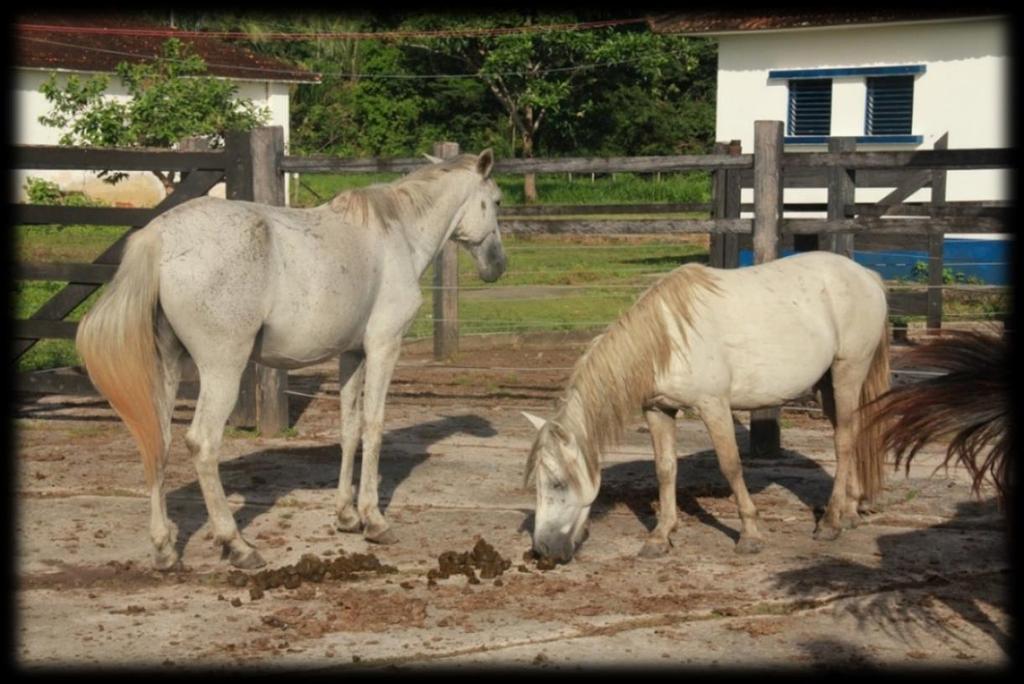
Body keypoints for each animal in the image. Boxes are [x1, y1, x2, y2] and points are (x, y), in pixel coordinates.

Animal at [75, 150, 503, 573]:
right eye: (497, 201)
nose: (497, 265)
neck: (396, 234)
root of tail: (160, 237)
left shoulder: (352, 354)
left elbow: (349, 428)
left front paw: (346, 516)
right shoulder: (384, 346)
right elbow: (373, 426)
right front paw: (374, 520)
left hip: (167, 368)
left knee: (157, 440)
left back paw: (165, 549)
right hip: (222, 370)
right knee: (202, 443)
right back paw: (237, 545)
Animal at [524, 250, 892, 561]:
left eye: (557, 483)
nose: (543, 551)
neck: (667, 341)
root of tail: (866, 275)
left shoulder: (713, 406)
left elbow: (730, 465)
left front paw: (750, 534)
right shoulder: (657, 410)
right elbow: (665, 469)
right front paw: (661, 536)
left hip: (848, 371)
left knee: (843, 440)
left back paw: (830, 522)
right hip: (825, 385)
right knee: (854, 431)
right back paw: (850, 511)